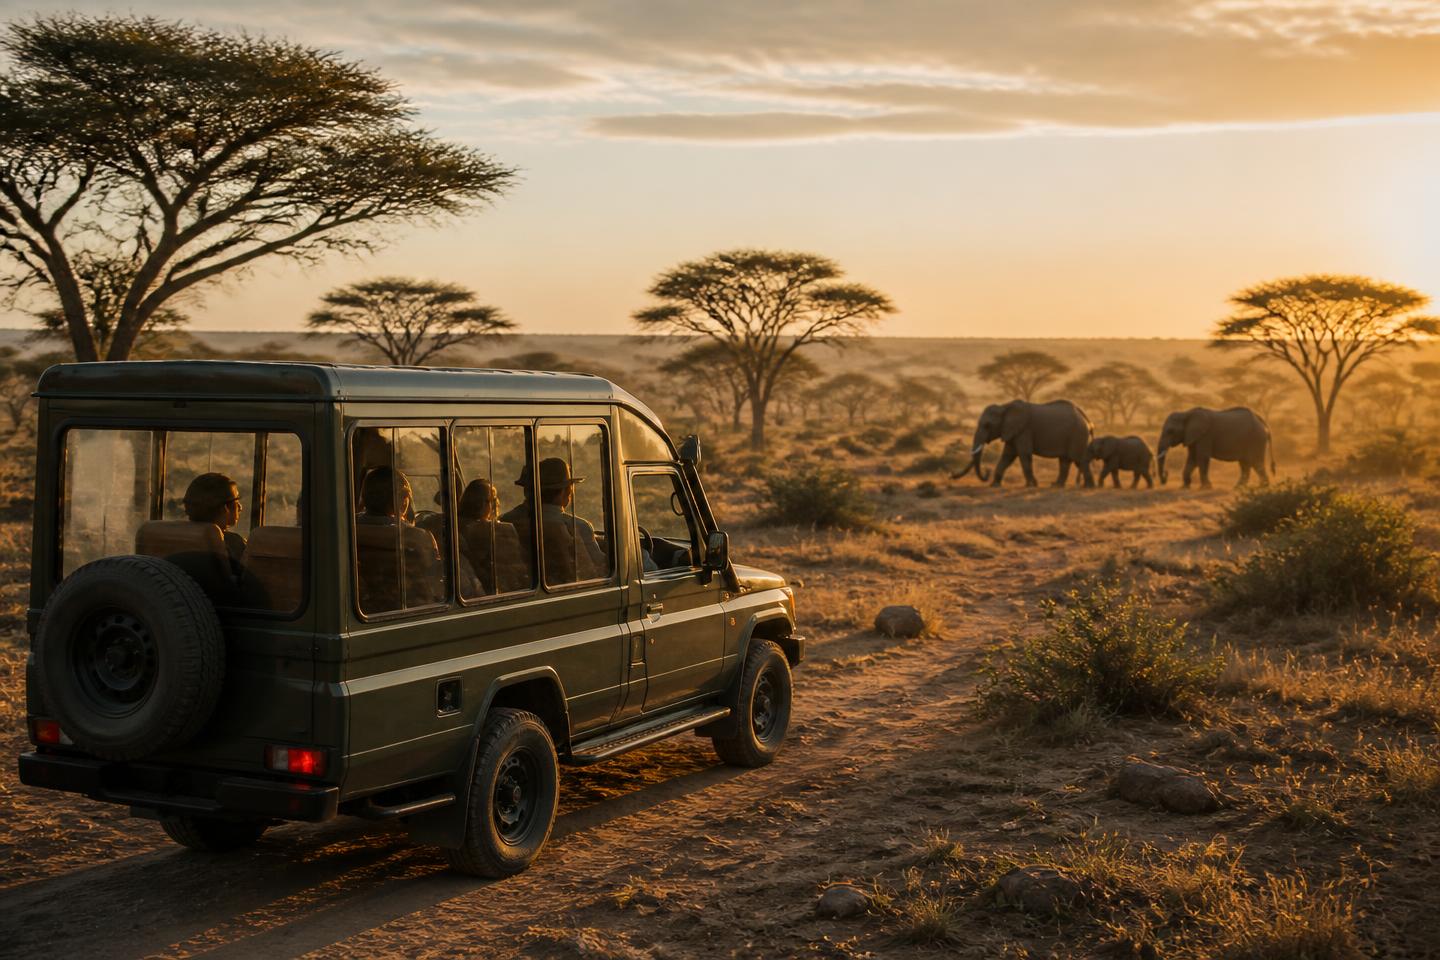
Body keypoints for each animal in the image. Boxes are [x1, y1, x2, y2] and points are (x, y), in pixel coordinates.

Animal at [952, 399, 1095, 488]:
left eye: (987, 425)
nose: (987, 471)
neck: (1004, 407)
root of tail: (1086, 418)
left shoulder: (1024, 430)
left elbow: (1024, 454)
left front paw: (1031, 485)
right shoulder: (1011, 431)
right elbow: (1007, 456)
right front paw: (994, 485)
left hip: (1077, 435)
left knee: (1079, 460)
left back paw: (1088, 487)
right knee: (1065, 460)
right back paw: (1057, 485)